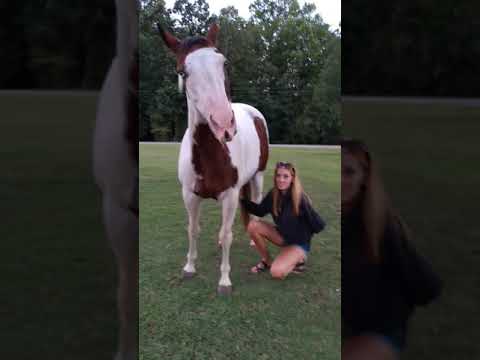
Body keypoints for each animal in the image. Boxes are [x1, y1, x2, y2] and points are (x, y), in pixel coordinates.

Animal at [159, 23, 268, 294]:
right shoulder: (189, 195)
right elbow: (193, 230)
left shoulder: (229, 195)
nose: (224, 124)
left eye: (224, 63)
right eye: (183, 72)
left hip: (258, 175)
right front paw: (189, 267)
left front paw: (225, 281)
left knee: (255, 203)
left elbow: (227, 235)